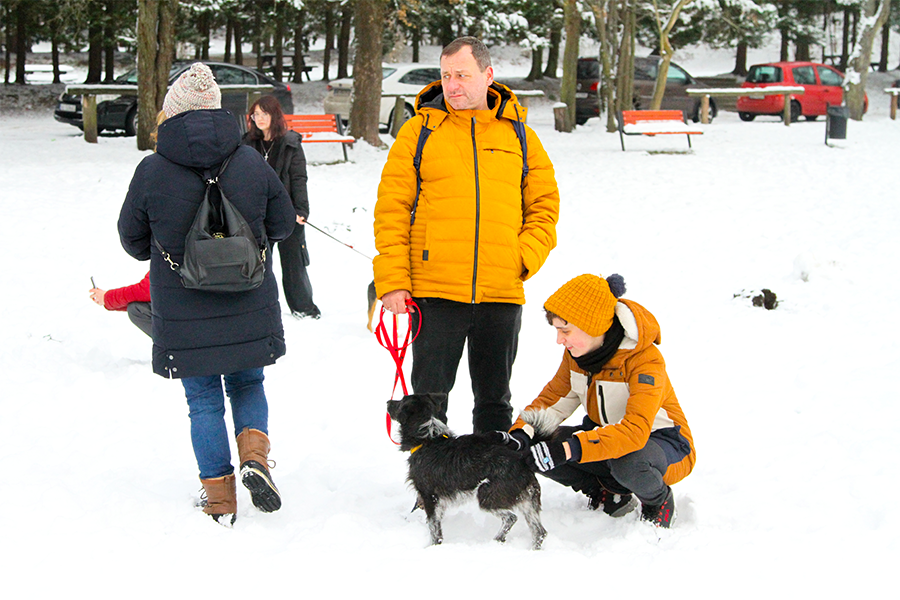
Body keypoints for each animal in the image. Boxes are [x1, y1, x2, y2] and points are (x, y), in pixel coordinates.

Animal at [386, 392, 548, 552]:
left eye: (401, 401)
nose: (388, 402)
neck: (427, 438)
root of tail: (523, 462)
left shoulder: (429, 496)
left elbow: (434, 529)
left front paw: (433, 548)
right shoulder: (438, 502)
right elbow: (437, 524)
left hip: (487, 496)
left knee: (511, 518)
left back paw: (497, 540)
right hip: (527, 501)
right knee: (540, 532)